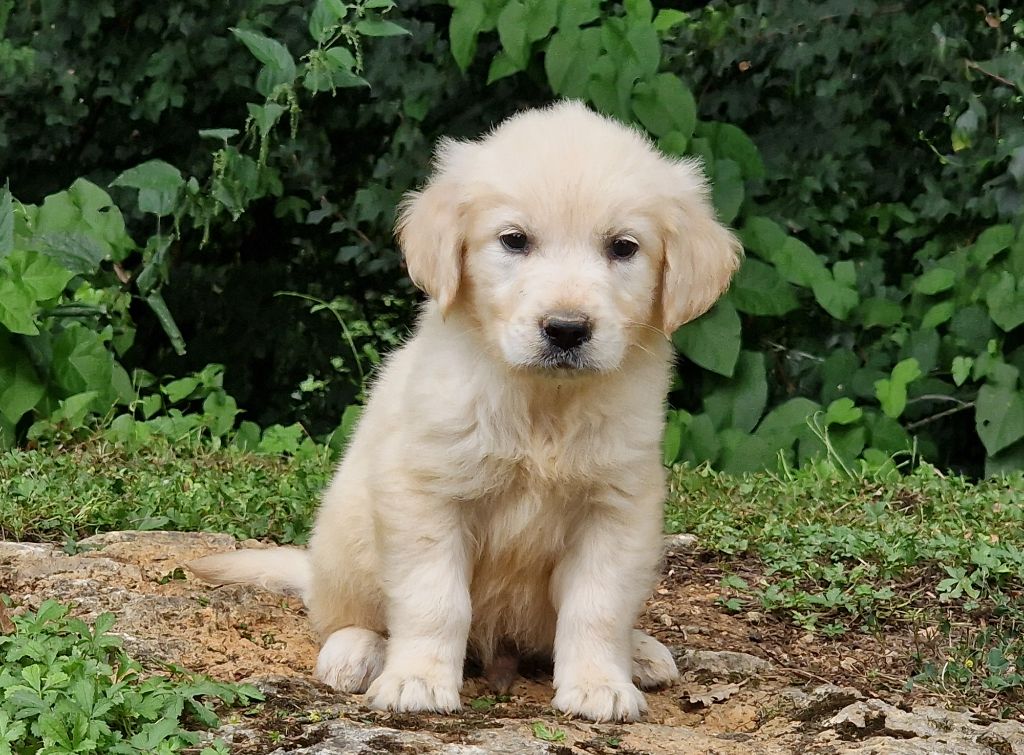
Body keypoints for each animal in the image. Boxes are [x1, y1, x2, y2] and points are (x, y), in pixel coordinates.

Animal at [188, 100, 741, 717]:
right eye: (515, 240)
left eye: (623, 247)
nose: (566, 330)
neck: (542, 404)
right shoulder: (426, 495)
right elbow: (435, 599)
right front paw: (418, 680)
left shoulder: (617, 508)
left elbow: (597, 606)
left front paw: (600, 683)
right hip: (347, 539)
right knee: (342, 615)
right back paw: (356, 651)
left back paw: (640, 652)